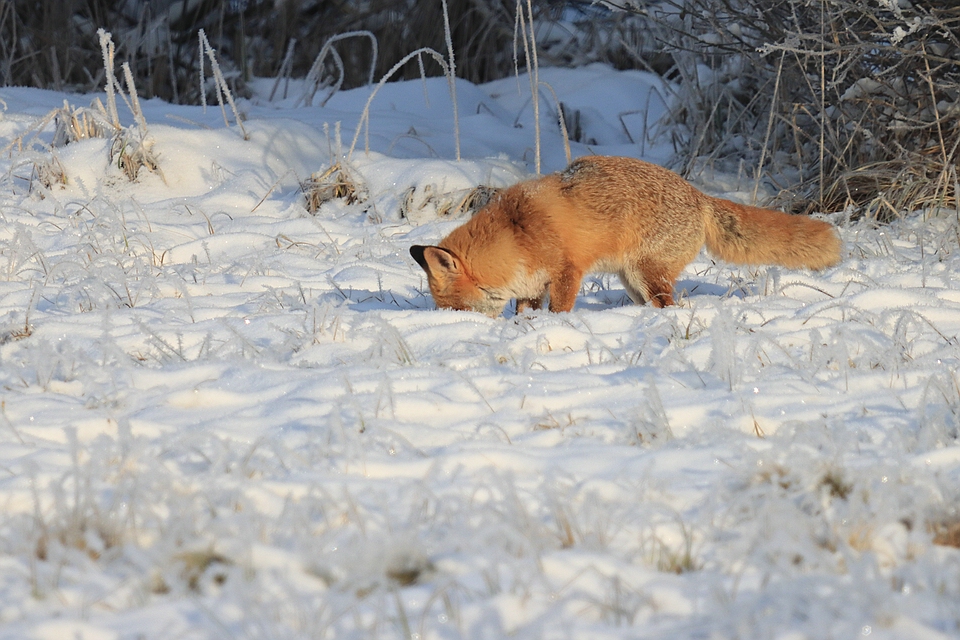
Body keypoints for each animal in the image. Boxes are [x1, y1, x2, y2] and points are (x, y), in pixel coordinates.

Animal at [412, 155, 840, 316]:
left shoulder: (568, 272)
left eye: (455, 307)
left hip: (646, 275)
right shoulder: (531, 286)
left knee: (671, 307)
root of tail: (699, 195)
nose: (451, 327)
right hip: (633, 281)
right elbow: (527, 312)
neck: (516, 235)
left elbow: (560, 310)